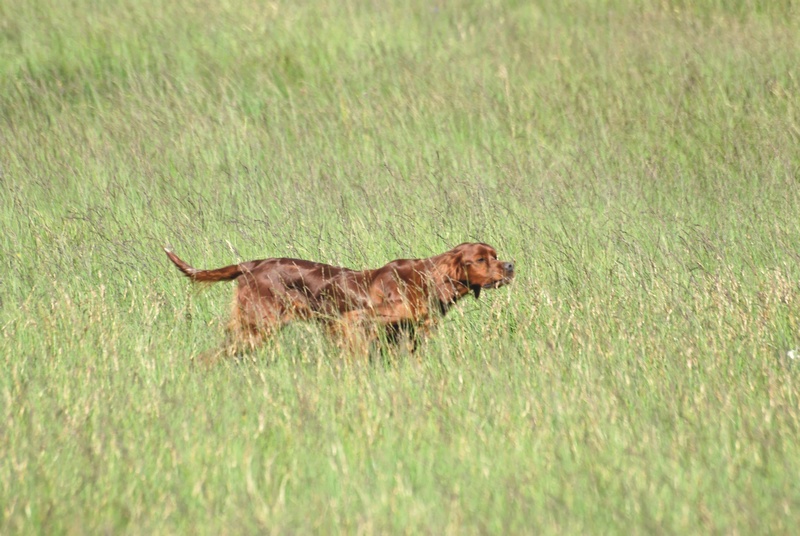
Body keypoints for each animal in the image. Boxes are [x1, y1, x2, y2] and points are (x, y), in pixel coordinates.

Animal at [164, 241, 512, 358]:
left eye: (495, 255)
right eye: (481, 259)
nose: (510, 266)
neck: (426, 279)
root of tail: (252, 264)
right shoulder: (354, 321)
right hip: (258, 328)